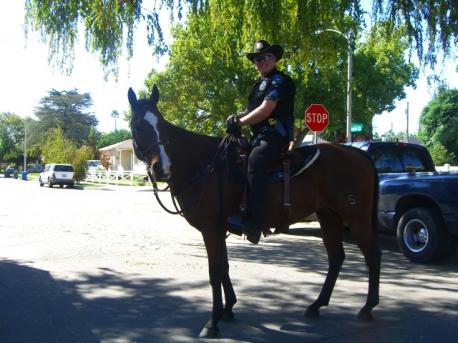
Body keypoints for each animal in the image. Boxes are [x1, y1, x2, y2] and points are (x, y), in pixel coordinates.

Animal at [127, 85, 382, 338]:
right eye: (137, 126)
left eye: (161, 126)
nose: (163, 168)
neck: (204, 165)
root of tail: (359, 154)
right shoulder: (218, 230)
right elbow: (224, 268)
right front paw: (228, 309)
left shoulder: (211, 229)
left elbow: (215, 271)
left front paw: (213, 321)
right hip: (329, 217)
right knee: (336, 258)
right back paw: (316, 305)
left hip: (356, 219)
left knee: (372, 255)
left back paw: (367, 307)